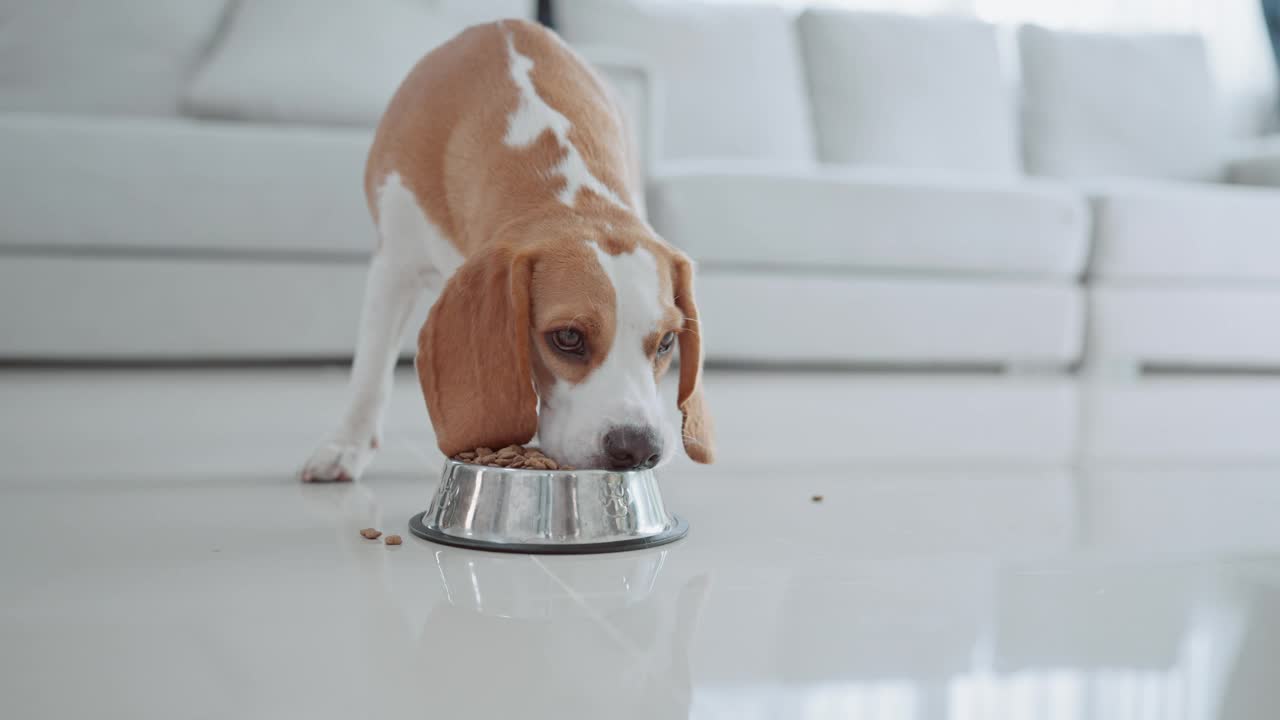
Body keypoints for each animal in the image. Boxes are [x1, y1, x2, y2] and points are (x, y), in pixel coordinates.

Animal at [304, 18, 716, 481]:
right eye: (568, 337)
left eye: (667, 341)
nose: (640, 448)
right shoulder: (394, 263)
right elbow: (370, 373)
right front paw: (345, 445)